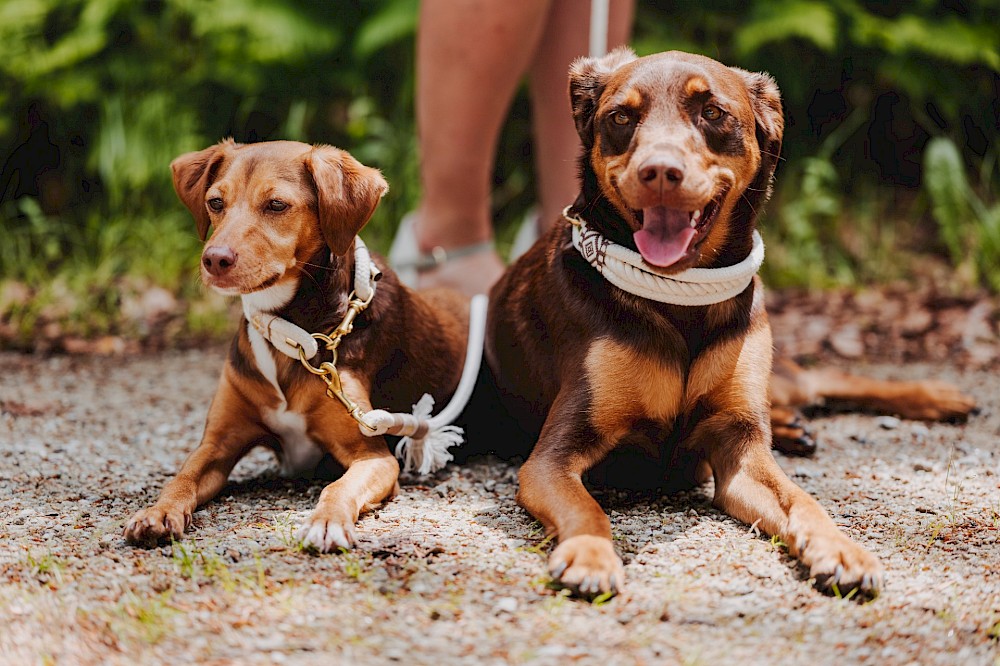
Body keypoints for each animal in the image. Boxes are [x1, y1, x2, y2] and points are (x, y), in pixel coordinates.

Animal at [125, 140, 468, 548]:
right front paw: (157, 512)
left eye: (276, 205)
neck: (290, 334)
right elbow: (182, 478)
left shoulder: (372, 455)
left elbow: (337, 488)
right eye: (215, 202)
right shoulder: (216, 444)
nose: (214, 259)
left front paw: (327, 521)